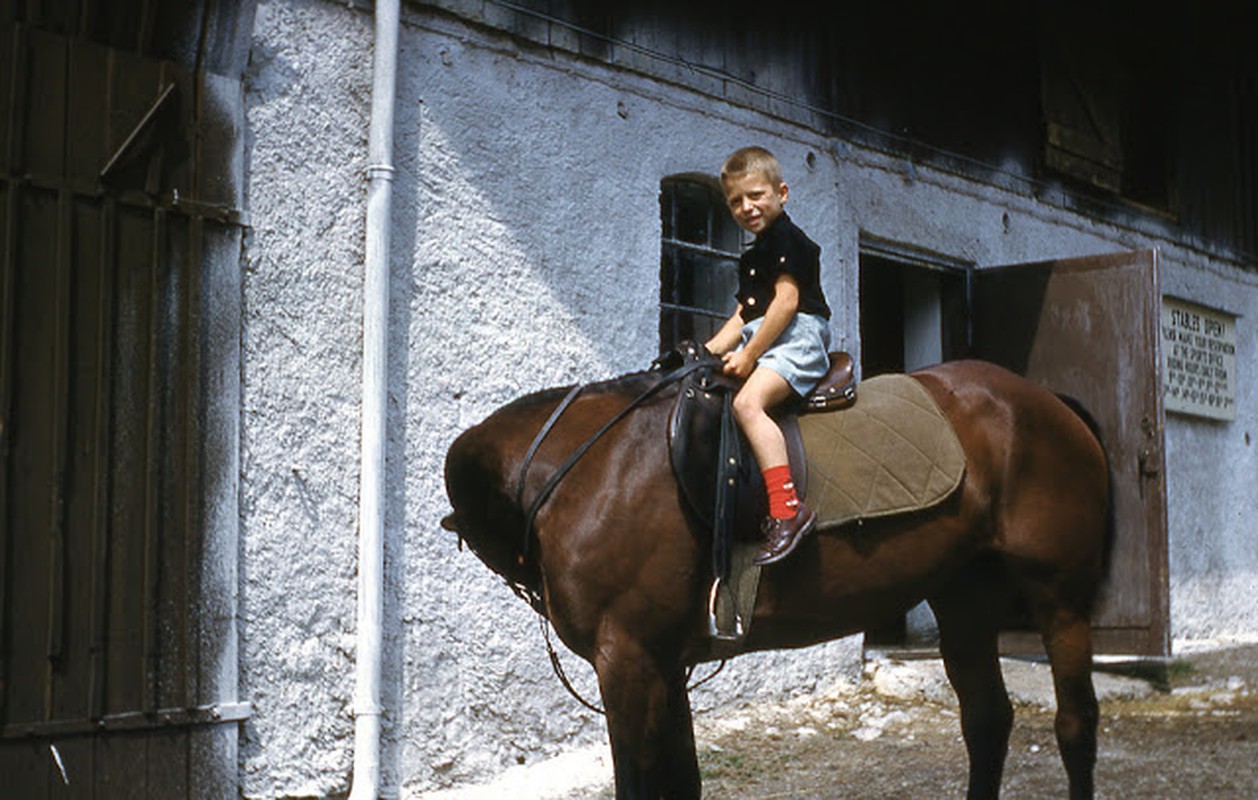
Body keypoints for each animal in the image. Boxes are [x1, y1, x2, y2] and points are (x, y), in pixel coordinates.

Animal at [442, 359, 1112, 800]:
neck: (589, 467)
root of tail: (1048, 402)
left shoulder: (629, 661)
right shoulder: (664, 664)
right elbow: (683, 783)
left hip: (1060, 601)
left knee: (1075, 725)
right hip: (963, 598)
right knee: (987, 721)